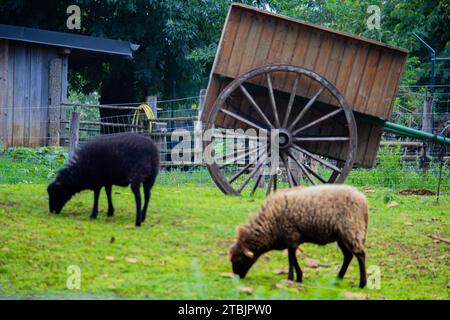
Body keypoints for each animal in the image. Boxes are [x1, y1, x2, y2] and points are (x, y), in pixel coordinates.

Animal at [230, 185, 368, 288]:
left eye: (239, 259)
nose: (237, 278)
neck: (269, 226)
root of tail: (363, 200)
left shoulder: (291, 235)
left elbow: (291, 258)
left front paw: (291, 278)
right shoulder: (292, 238)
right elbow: (293, 257)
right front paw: (298, 277)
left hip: (351, 229)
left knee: (360, 254)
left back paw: (362, 284)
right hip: (342, 235)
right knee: (348, 255)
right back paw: (338, 279)